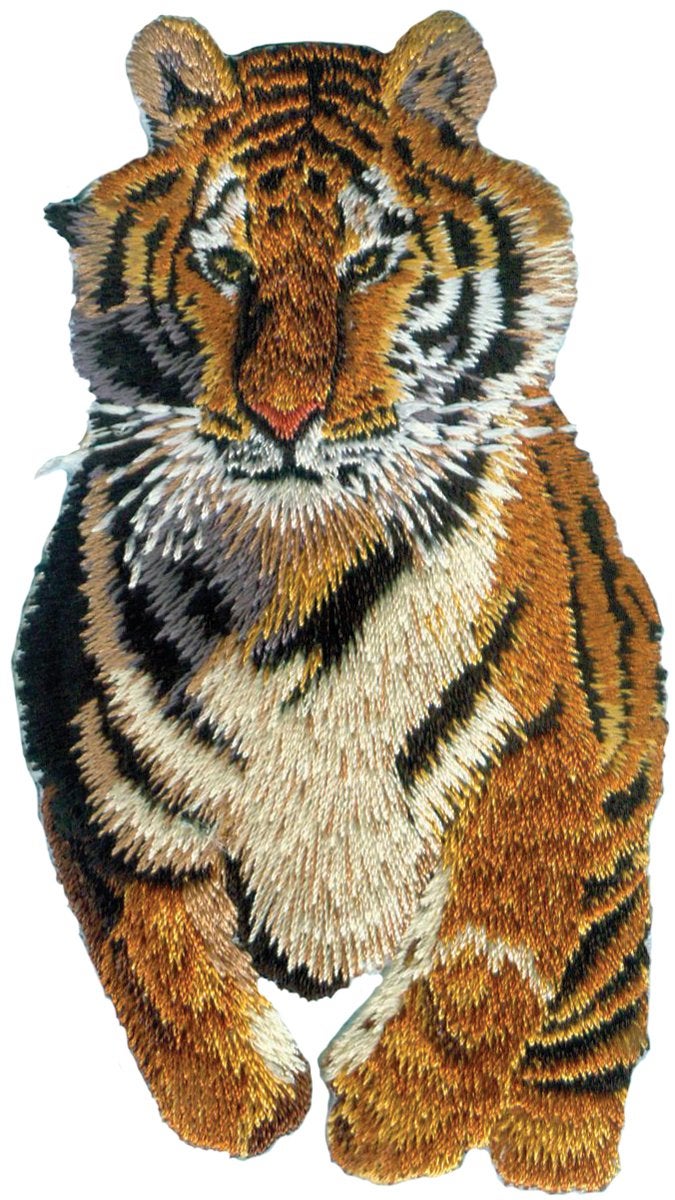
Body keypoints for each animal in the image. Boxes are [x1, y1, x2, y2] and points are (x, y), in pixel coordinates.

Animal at [14, 10, 666, 1190]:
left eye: (369, 263)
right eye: (225, 264)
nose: (284, 417)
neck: (302, 571)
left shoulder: (539, 757)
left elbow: (480, 963)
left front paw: (396, 1130)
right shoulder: (94, 767)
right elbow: (160, 957)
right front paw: (242, 1107)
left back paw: (550, 1148)